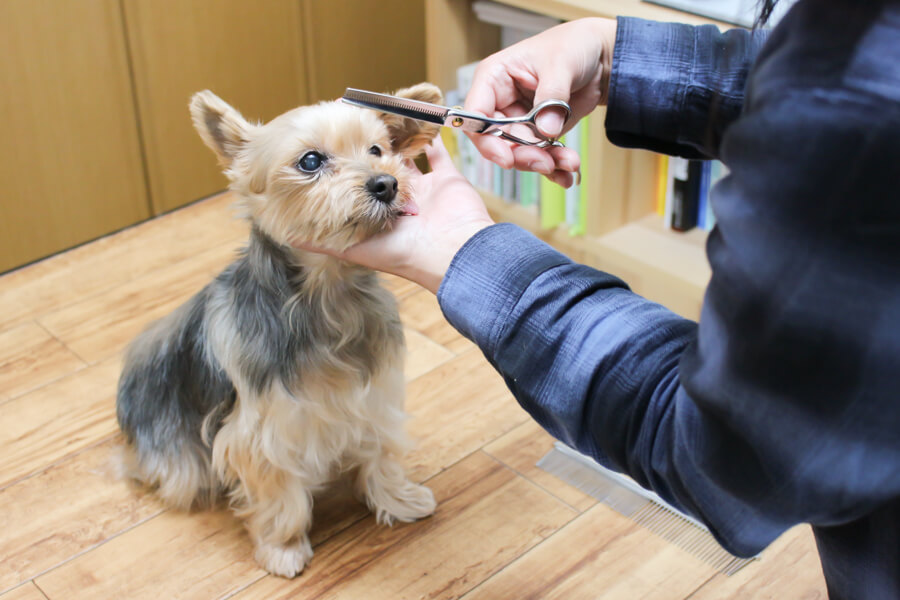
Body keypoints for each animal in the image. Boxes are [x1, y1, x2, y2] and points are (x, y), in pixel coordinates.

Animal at [116, 84, 442, 576]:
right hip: (175, 450)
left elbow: (381, 453)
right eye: (310, 161)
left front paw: (399, 501)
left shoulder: (374, 396)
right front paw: (283, 549)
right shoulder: (261, 431)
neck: (327, 294)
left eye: (378, 149)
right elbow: (279, 494)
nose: (386, 183)